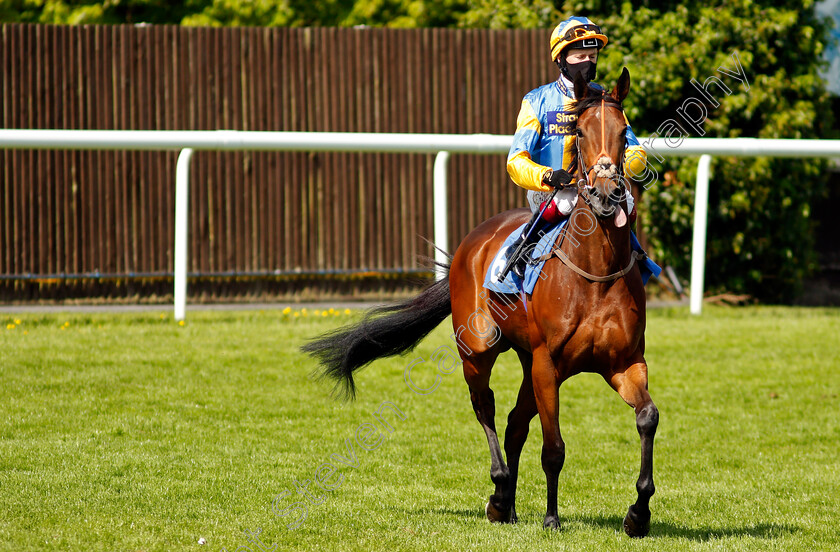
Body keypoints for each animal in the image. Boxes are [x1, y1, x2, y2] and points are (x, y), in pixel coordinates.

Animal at [306, 67, 660, 536]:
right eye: (580, 133)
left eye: (623, 133)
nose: (606, 196)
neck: (595, 274)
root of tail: (469, 243)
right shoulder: (549, 364)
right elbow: (554, 447)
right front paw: (551, 517)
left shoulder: (623, 362)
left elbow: (647, 417)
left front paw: (639, 512)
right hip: (478, 349)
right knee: (485, 408)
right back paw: (499, 493)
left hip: (529, 362)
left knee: (513, 423)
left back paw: (509, 503)